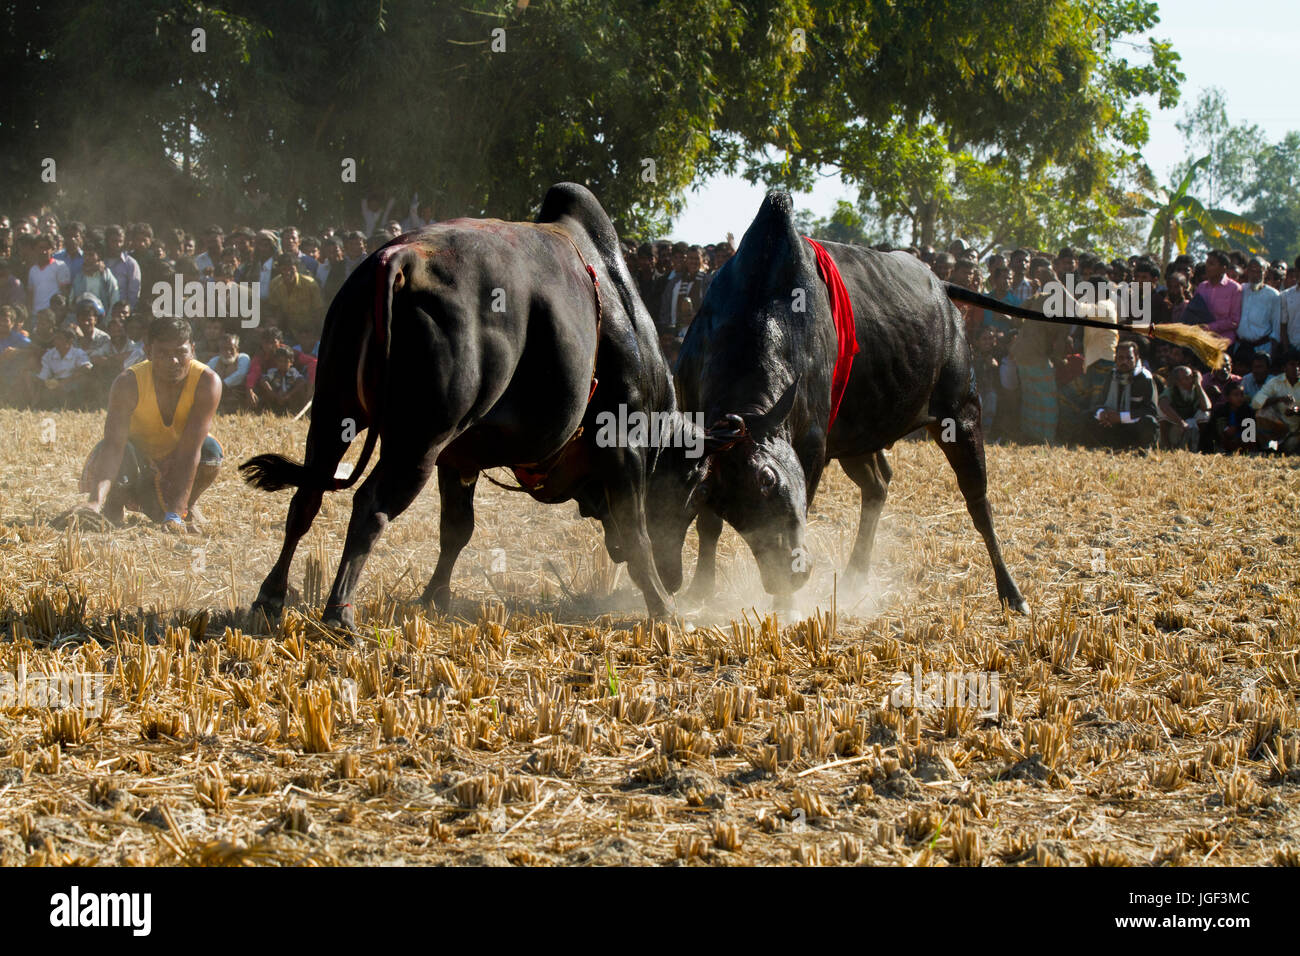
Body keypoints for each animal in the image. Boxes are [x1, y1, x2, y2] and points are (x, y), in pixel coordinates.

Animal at [237, 184, 702, 629]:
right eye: (694, 480)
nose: (676, 578)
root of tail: (402, 258)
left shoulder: (459, 459)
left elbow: (456, 530)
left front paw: (434, 596)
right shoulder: (623, 444)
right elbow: (638, 532)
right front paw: (663, 606)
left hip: (334, 416)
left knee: (306, 499)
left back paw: (270, 598)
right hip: (417, 444)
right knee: (370, 507)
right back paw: (338, 612)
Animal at [665, 191, 1029, 616]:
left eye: (768, 479)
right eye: (725, 502)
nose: (792, 574)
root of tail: (941, 288)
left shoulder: (812, 447)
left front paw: (786, 606)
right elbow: (708, 526)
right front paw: (700, 590)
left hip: (961, 414)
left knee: (978, 501)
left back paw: (1012, 592)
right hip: (858, 440)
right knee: (878, 487)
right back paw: (856, 575)